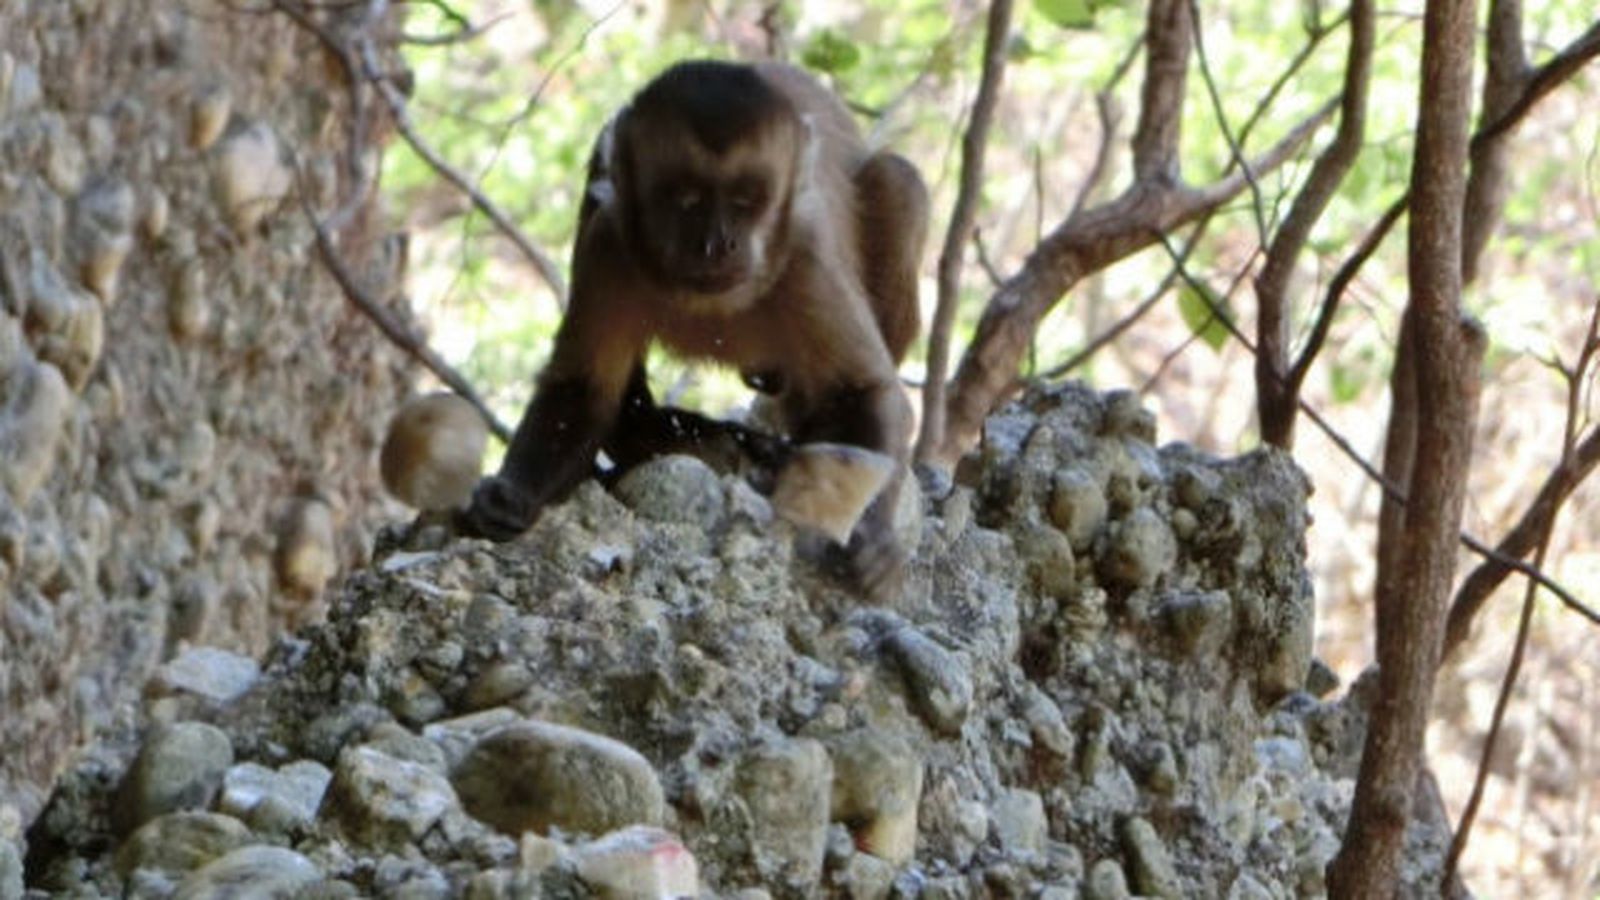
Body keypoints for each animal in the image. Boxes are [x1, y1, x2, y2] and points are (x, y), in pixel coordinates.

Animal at [458, 59, 930, 599]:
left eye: (746, 200)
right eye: (686, 199)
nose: (717, 243)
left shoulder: (805, 261)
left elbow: (864, 390)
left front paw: (870, 538)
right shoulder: (610, 246)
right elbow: (581, 389)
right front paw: (511, 497)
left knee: (900, 184)